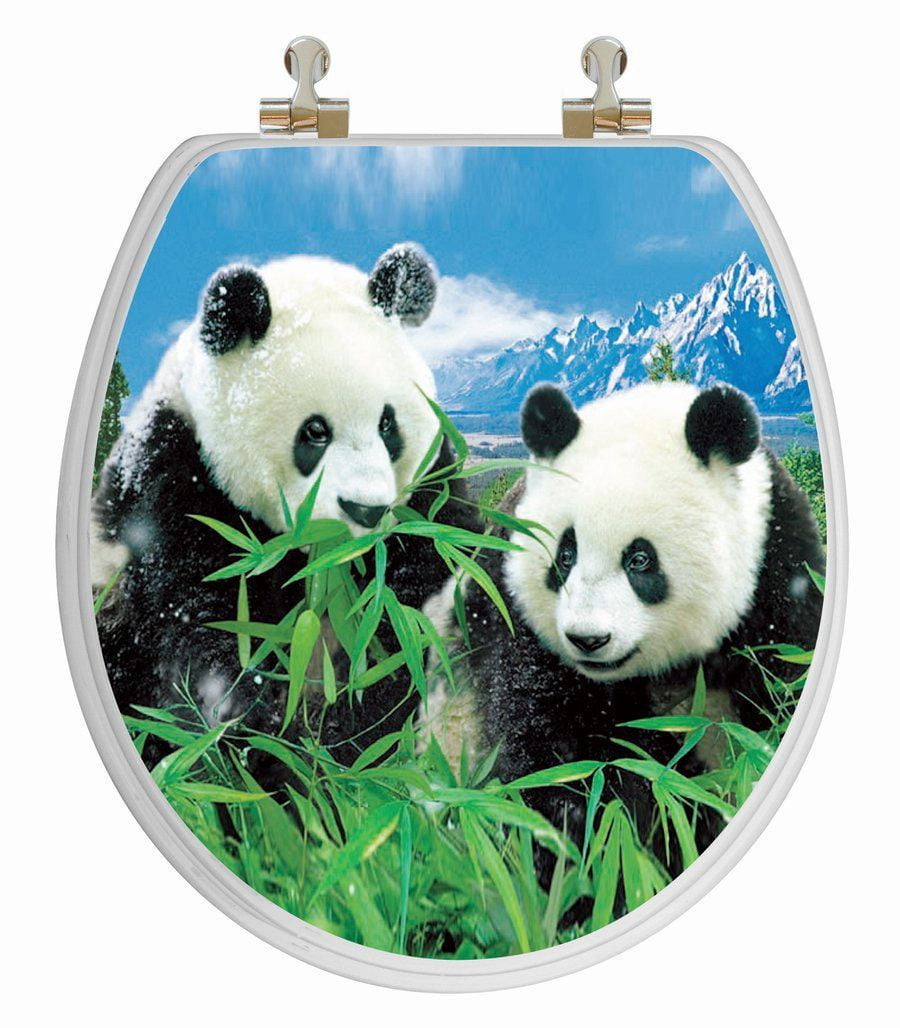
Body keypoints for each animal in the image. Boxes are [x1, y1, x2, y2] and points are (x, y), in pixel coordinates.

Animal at [93, 242, 478, 766]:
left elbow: (417, 612)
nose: (366, 510)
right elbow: (205, 627)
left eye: (387, 424)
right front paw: (269, 738)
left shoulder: (427, 498)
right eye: (314, 431)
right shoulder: (176, 485)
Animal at [420, 379, 824, 879]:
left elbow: (782, 684)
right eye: (565, 555)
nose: (588, 639)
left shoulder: (778, 572)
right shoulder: (515, 615)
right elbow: (565, 761)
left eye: (640, 560)